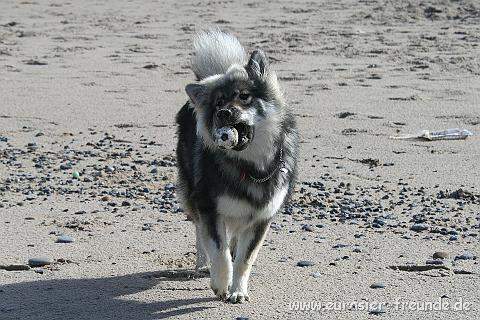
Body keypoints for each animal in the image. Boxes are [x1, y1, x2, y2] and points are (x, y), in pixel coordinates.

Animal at [174, 30, 298, 302]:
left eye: (244, 96)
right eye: (218, 103)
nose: (224, 113)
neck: (252, 168)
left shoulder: (261, 217)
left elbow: (244, 258)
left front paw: (238, 290)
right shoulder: (209, 208)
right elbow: (219, 252)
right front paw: (220, 284)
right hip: (191, 191)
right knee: (200, 233)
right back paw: (202, 265)